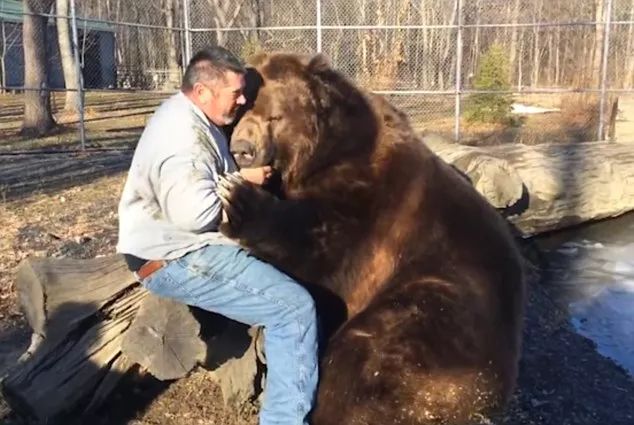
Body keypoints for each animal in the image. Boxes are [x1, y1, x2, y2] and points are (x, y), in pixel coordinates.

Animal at [217, 52, 524, 424]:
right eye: (239, 114)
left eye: (275, 115)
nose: (243, 149)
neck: (320, 155)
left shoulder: (367, 203)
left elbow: (320, 247)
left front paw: (237, 198)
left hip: (438, 312)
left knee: (365, 352)